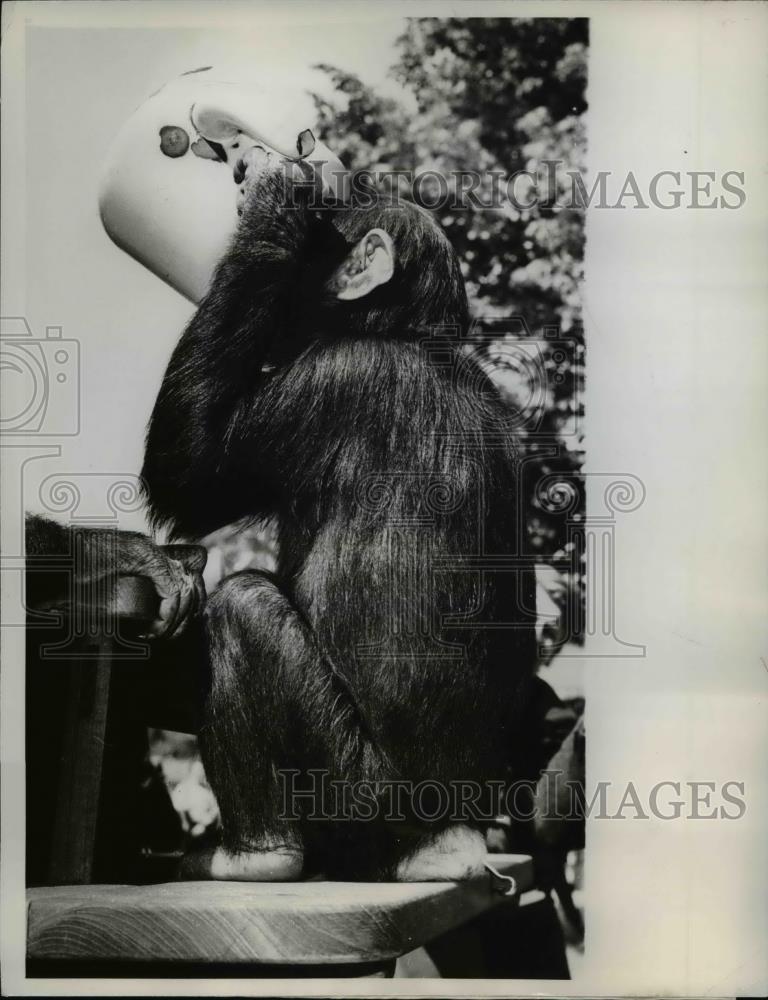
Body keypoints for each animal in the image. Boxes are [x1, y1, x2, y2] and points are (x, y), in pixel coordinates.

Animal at [138, 148, 536, 884]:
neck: (407, 334)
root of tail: (452, 835)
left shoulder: (323, 380)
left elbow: (189, 476)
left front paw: (276, 203)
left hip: (353, 802)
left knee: (243, 608)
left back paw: (254, 858)